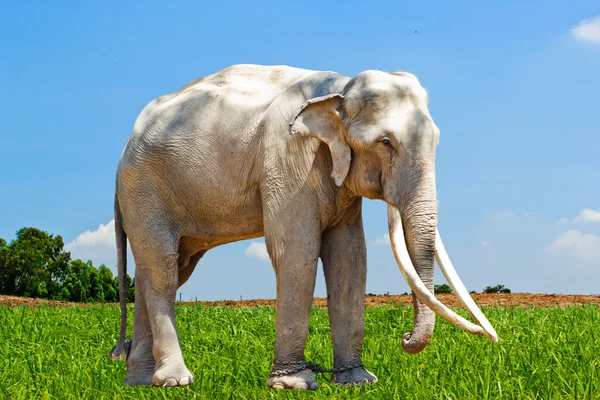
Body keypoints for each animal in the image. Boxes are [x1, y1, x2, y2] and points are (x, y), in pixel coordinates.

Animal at [109, 64, 496, 390]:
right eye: (385, 143)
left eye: (437, 140)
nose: (403, 339)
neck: (340, 87)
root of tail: (125, 147)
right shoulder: (288, 157)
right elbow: (297, 252)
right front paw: (293, 384)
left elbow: (350, 258)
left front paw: (357, 381)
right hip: (144, 188)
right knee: (162, 269)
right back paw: (174, 381)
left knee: (160, 271)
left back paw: (140, 384)